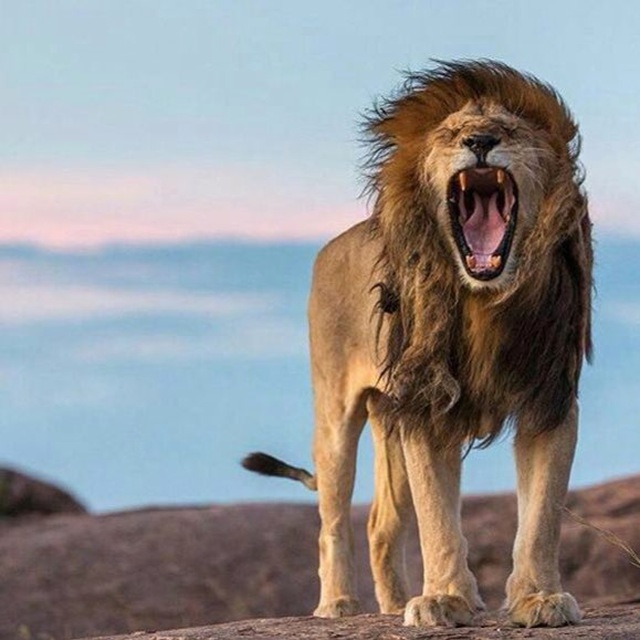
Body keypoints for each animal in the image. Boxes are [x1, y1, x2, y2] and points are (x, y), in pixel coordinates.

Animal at [243, 60, 593, 628]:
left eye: (508, 130)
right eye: (451, 133)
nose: (480, 141)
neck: (484, 303)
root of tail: (331, 245)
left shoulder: (550, 398)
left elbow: (541, 515)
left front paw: (538, 598)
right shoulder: (426, 405)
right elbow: (437, 518)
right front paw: (445, 599)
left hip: (390, 419)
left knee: (381, 524)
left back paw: (390, 605)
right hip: (336, 418)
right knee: (333, 520)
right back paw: (338, 606)